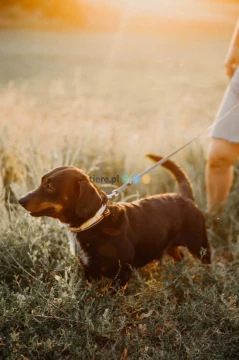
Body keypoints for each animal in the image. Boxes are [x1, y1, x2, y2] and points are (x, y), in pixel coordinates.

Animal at [18, 154, 210, 286]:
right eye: (42, 181)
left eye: (50, 186)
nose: (20, 200)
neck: (94, 222)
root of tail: (185, 196)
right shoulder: (89, 271)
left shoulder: (121, 274)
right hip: (171, 247)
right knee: (179, 257)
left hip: (200, 247)